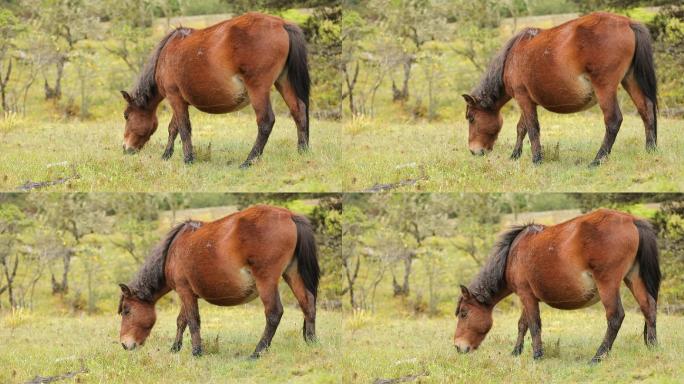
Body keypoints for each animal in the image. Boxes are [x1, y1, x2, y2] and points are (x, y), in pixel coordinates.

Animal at [118, 206, 320, 358]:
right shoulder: (189, 293)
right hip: (292, 274)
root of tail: (289, 215)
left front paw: (196, 352)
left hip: (266, 281)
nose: (125, 344)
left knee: (274, 313)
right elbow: (182, 321)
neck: (172, 251)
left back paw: (257, 352)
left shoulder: (184, 291)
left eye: (127, 311)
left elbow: (193, 321)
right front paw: (175, 348)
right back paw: (312, 342)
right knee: (308, 304)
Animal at [120, 12, 310, 168]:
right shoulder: (181, 101)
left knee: (266, 121)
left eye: (126, 116)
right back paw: (302, 151)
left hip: (258, 89)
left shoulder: (175, 98)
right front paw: (166, 155)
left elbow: (184, 128)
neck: (166, 55)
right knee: (298, 111)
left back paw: (249, 161)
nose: (125, 148)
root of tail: (281, 23)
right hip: (283, 82)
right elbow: (173, 128)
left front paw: (188, 159)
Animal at [456, 210, 660, 364]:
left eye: (464, 313)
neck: (512, 254)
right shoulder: (528, 296)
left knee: (615, 317)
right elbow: (522, 324)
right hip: (633, 279)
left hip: (608, 285)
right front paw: (516, 352)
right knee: (648, 308)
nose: (458, 347)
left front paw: (537, 356)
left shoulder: (526, 295)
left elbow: (534, 325)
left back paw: (597, 357)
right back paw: (653, 347)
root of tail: (631, 219)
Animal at [464, 12, 656, 166]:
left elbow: (532, 129)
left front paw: (536, 160)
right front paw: (515, 155)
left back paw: (597, 160)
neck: (512, 57)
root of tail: (628, 22)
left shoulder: (522, 98)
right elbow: (522, 128)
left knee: (613, 120)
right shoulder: (528, 100)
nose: (473, 151)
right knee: (646, 110)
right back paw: (651, 149)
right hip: (630, 80)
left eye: (471, 118)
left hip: (605, 88)